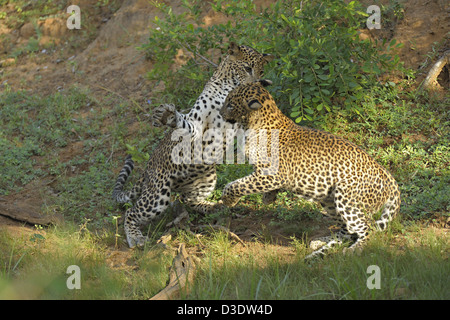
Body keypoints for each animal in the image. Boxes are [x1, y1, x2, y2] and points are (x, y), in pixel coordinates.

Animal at [112, 42, 274, 248]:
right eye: (247, 68)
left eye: (261, 71)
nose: (257, 83)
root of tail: (148, 166)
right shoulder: (196, 123)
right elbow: (184, 123)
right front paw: (169, 117)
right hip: (158, 195)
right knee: (130, 212)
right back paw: (135, 237)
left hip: (206, 180)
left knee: (188, 199)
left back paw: (214, 206)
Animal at [219, 81, 400, 258]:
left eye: (230, 105)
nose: (221, 114)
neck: (252, 125)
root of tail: (390, 178)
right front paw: (268, 198)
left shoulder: (272, 175)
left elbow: (236, 185)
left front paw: (228, 200)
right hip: (329, 200)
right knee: (348, 231)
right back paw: (321, 242)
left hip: (347, 197)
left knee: (367, 227)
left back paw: (355, 248)